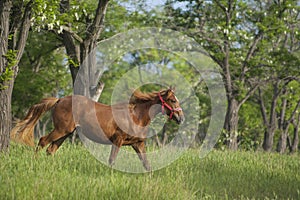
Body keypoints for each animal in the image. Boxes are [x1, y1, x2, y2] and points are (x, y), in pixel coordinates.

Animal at [10, 87, 184, 170]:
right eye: (173, 100)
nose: (181, 118)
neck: (136, 116)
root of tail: (59, 100)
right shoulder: (118, 141)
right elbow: (112, 160)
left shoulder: (137, 144)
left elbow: (147, 164)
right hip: (61, 130)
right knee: (42, 141)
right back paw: (34, 163)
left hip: (65, 133)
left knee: (50, 150)